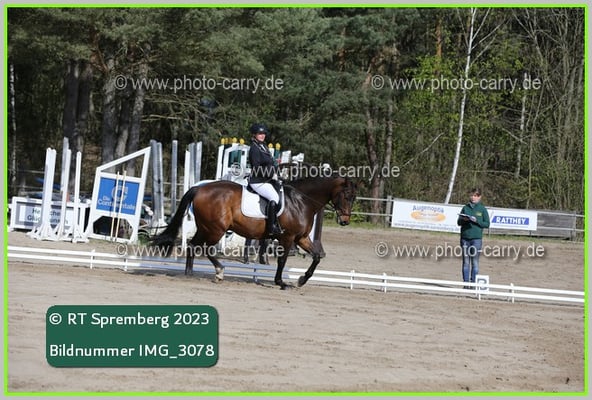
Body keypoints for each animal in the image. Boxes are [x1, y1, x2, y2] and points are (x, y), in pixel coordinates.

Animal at [151, 176, 357, 289]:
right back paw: (219, 272)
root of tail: (199, 188)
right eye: (346, 196)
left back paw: (190, 273)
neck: (301, 201)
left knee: (194, 246)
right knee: (204, 248)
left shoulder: (301, 238)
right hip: (216, 229)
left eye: (354, 198)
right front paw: (281, 282)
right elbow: (282, 261)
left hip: (206, 227)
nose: (345, 221)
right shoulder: (288, 237)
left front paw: (301, 280)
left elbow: (316, 257)